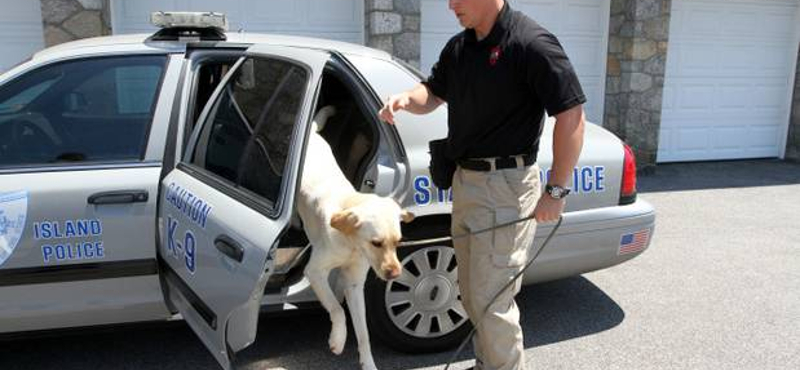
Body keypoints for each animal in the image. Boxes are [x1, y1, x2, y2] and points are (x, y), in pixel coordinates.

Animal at [298, 105, 416, 368]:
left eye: (398, 242)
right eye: (376, 243)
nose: (395, 274)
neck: (351, 244)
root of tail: (311, 134)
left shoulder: (354, 284)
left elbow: (363, 333)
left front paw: (368, 363)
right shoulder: (315, 271)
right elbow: (337, 309)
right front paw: (338, 340)